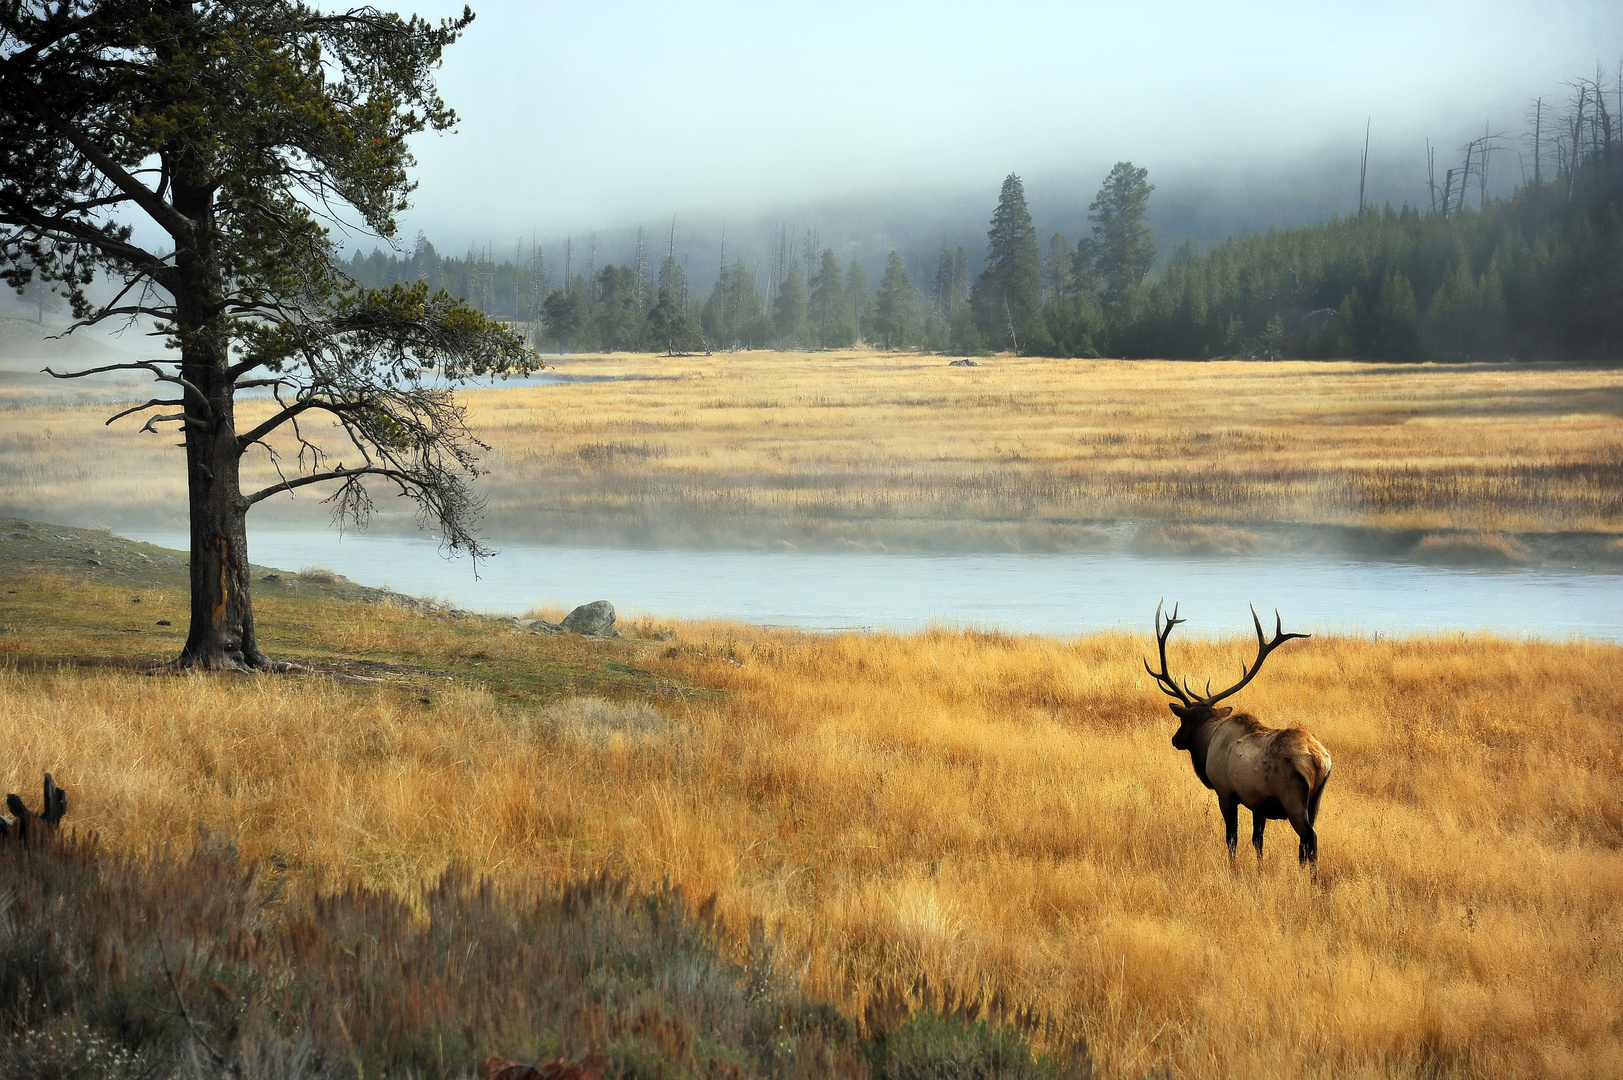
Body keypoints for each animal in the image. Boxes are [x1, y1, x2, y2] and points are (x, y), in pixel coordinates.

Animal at [1142, 600, 1330, 870]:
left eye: (1183, 720)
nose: (1175, 740)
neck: (1208, 743)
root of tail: (1317, 759)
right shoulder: (1258, 802)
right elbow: (1257, 840)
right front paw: (1260, 870)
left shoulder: (1226, 792)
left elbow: (1232, 837)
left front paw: (1233, 870)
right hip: (1316, 800)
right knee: (1307, 843)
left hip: (1294, 798)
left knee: (1309, 838)